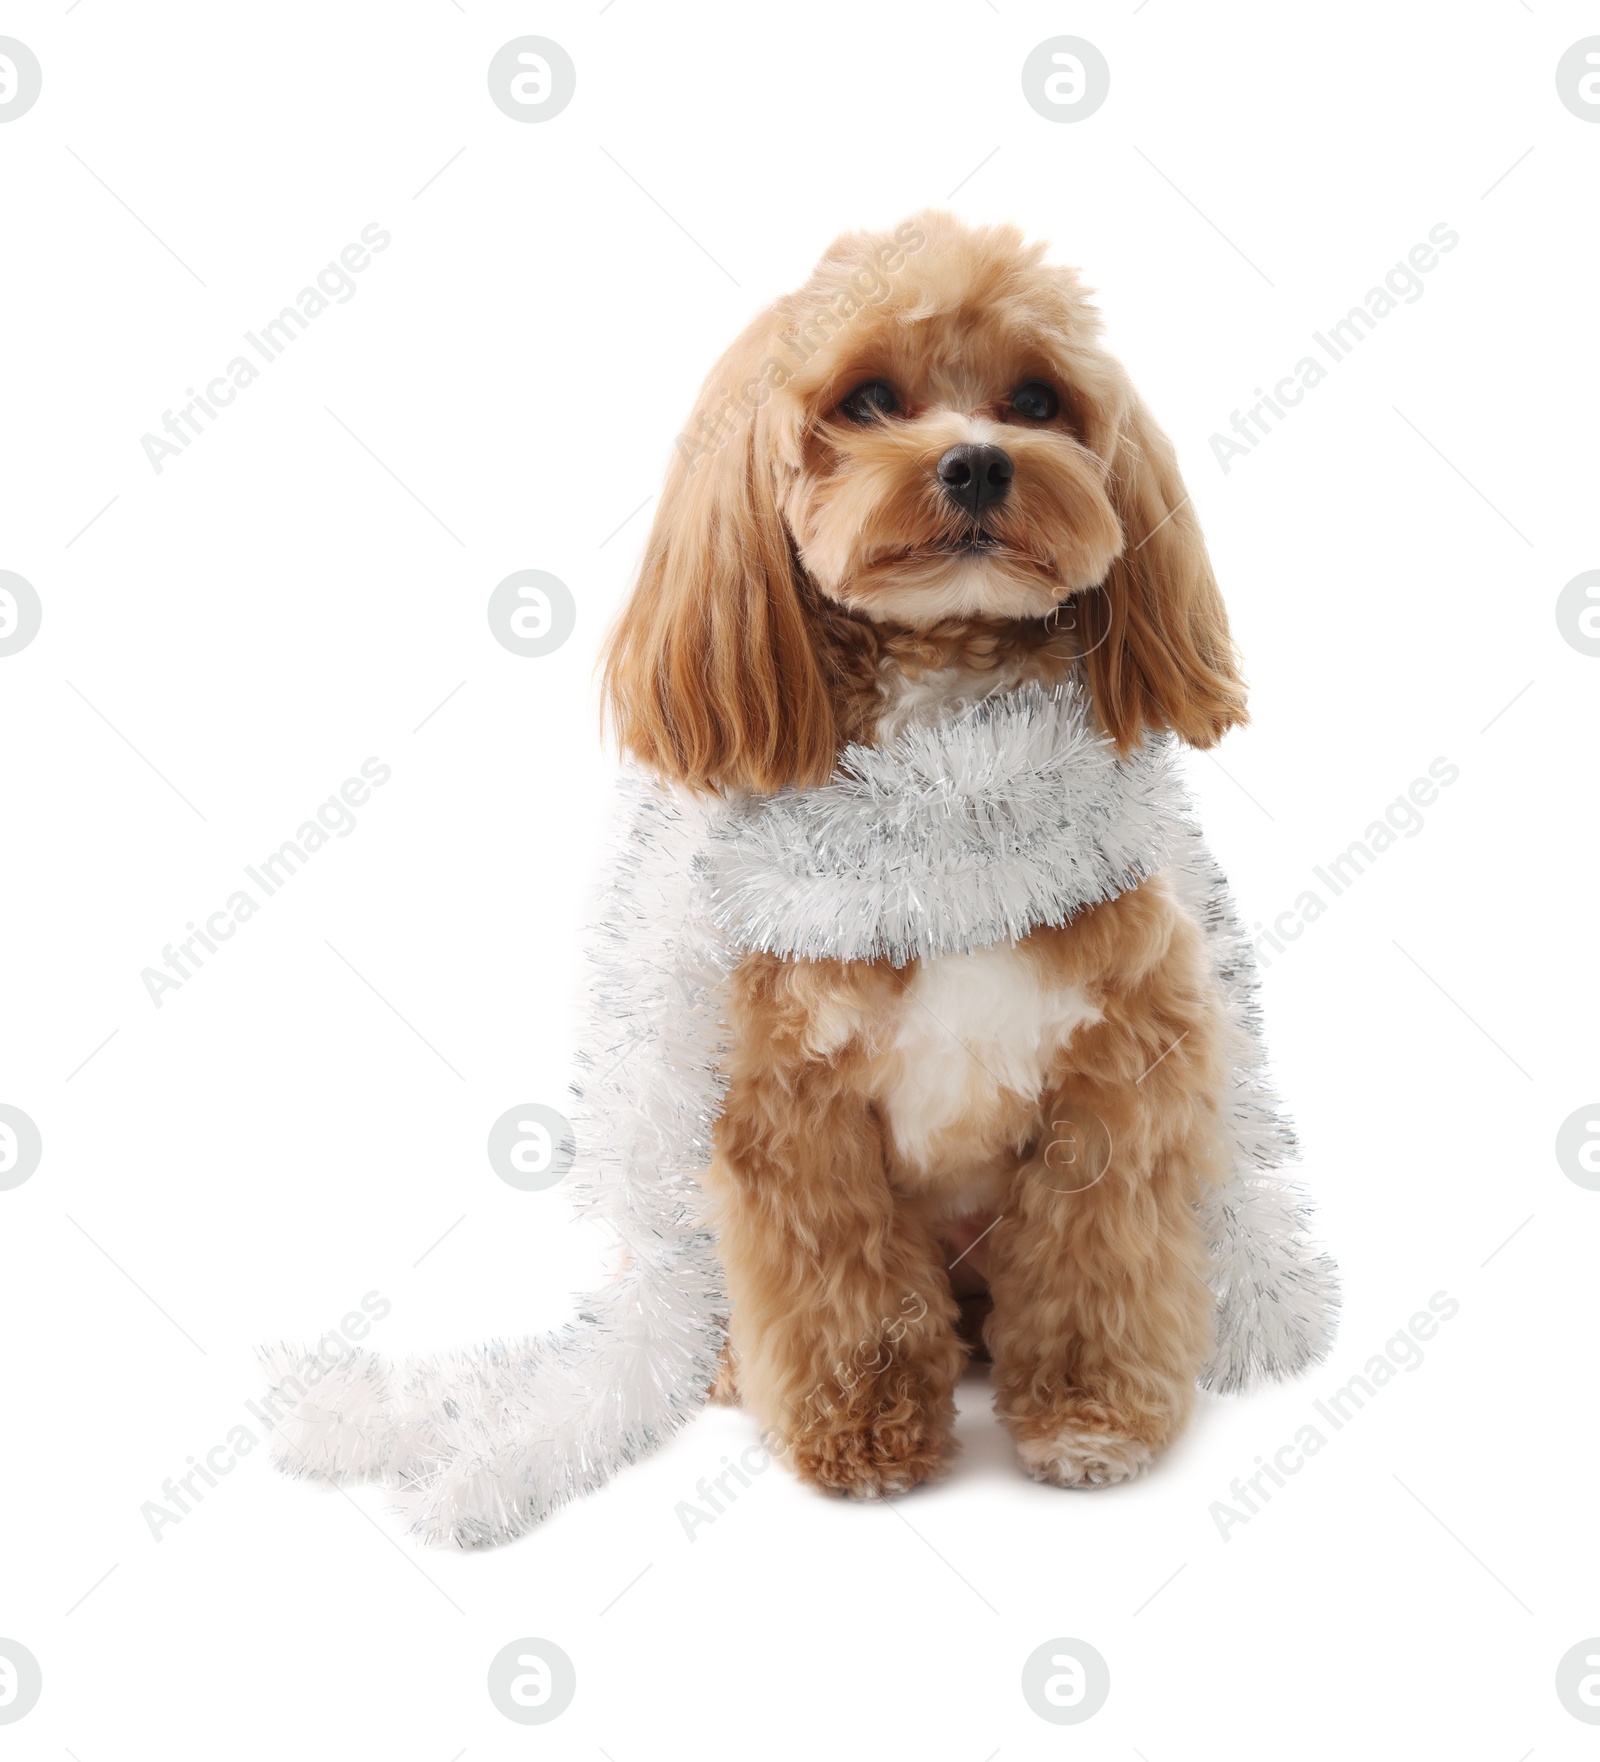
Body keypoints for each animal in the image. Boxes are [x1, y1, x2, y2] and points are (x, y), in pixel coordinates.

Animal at [602, 209, 1247, 1501]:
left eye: (1038, 399)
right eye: (865, 400)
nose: (978, 463)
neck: (951, 796)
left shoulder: (1117, 1079)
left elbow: (1097, 1267)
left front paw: (1092, 1415)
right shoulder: (793, 1111)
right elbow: (843, 1295)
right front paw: (858, 1431)